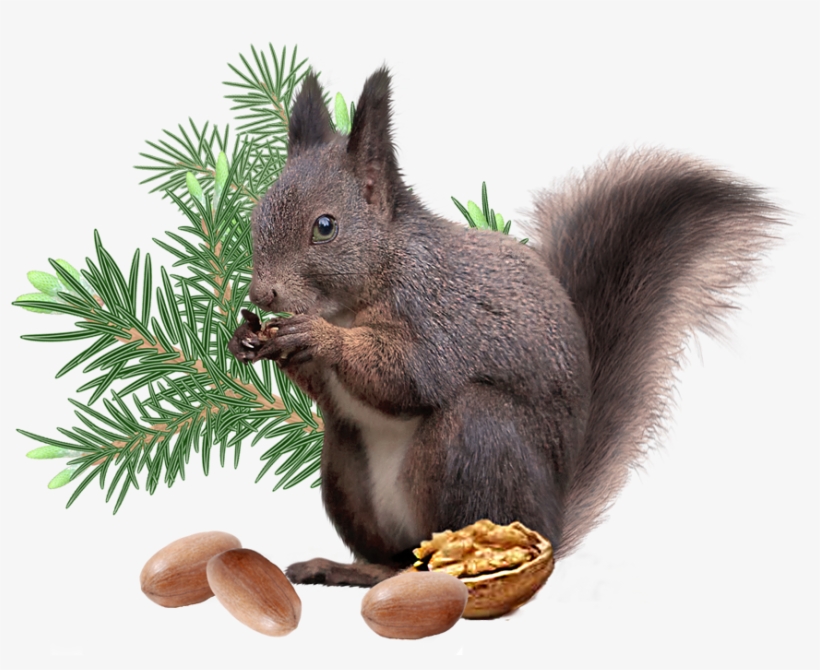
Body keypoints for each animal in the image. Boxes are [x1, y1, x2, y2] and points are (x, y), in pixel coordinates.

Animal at [228, 68, 779, 587]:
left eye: (325, 227)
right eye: (257, 215)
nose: (261, 295)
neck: (370, 280)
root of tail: (552, 526)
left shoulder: (441, 313)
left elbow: (410, 374)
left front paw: (320, 338)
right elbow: (328, 390)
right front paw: (250, 339)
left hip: (478, 442)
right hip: (345, 467)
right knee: (393, 551)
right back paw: (353, 569)